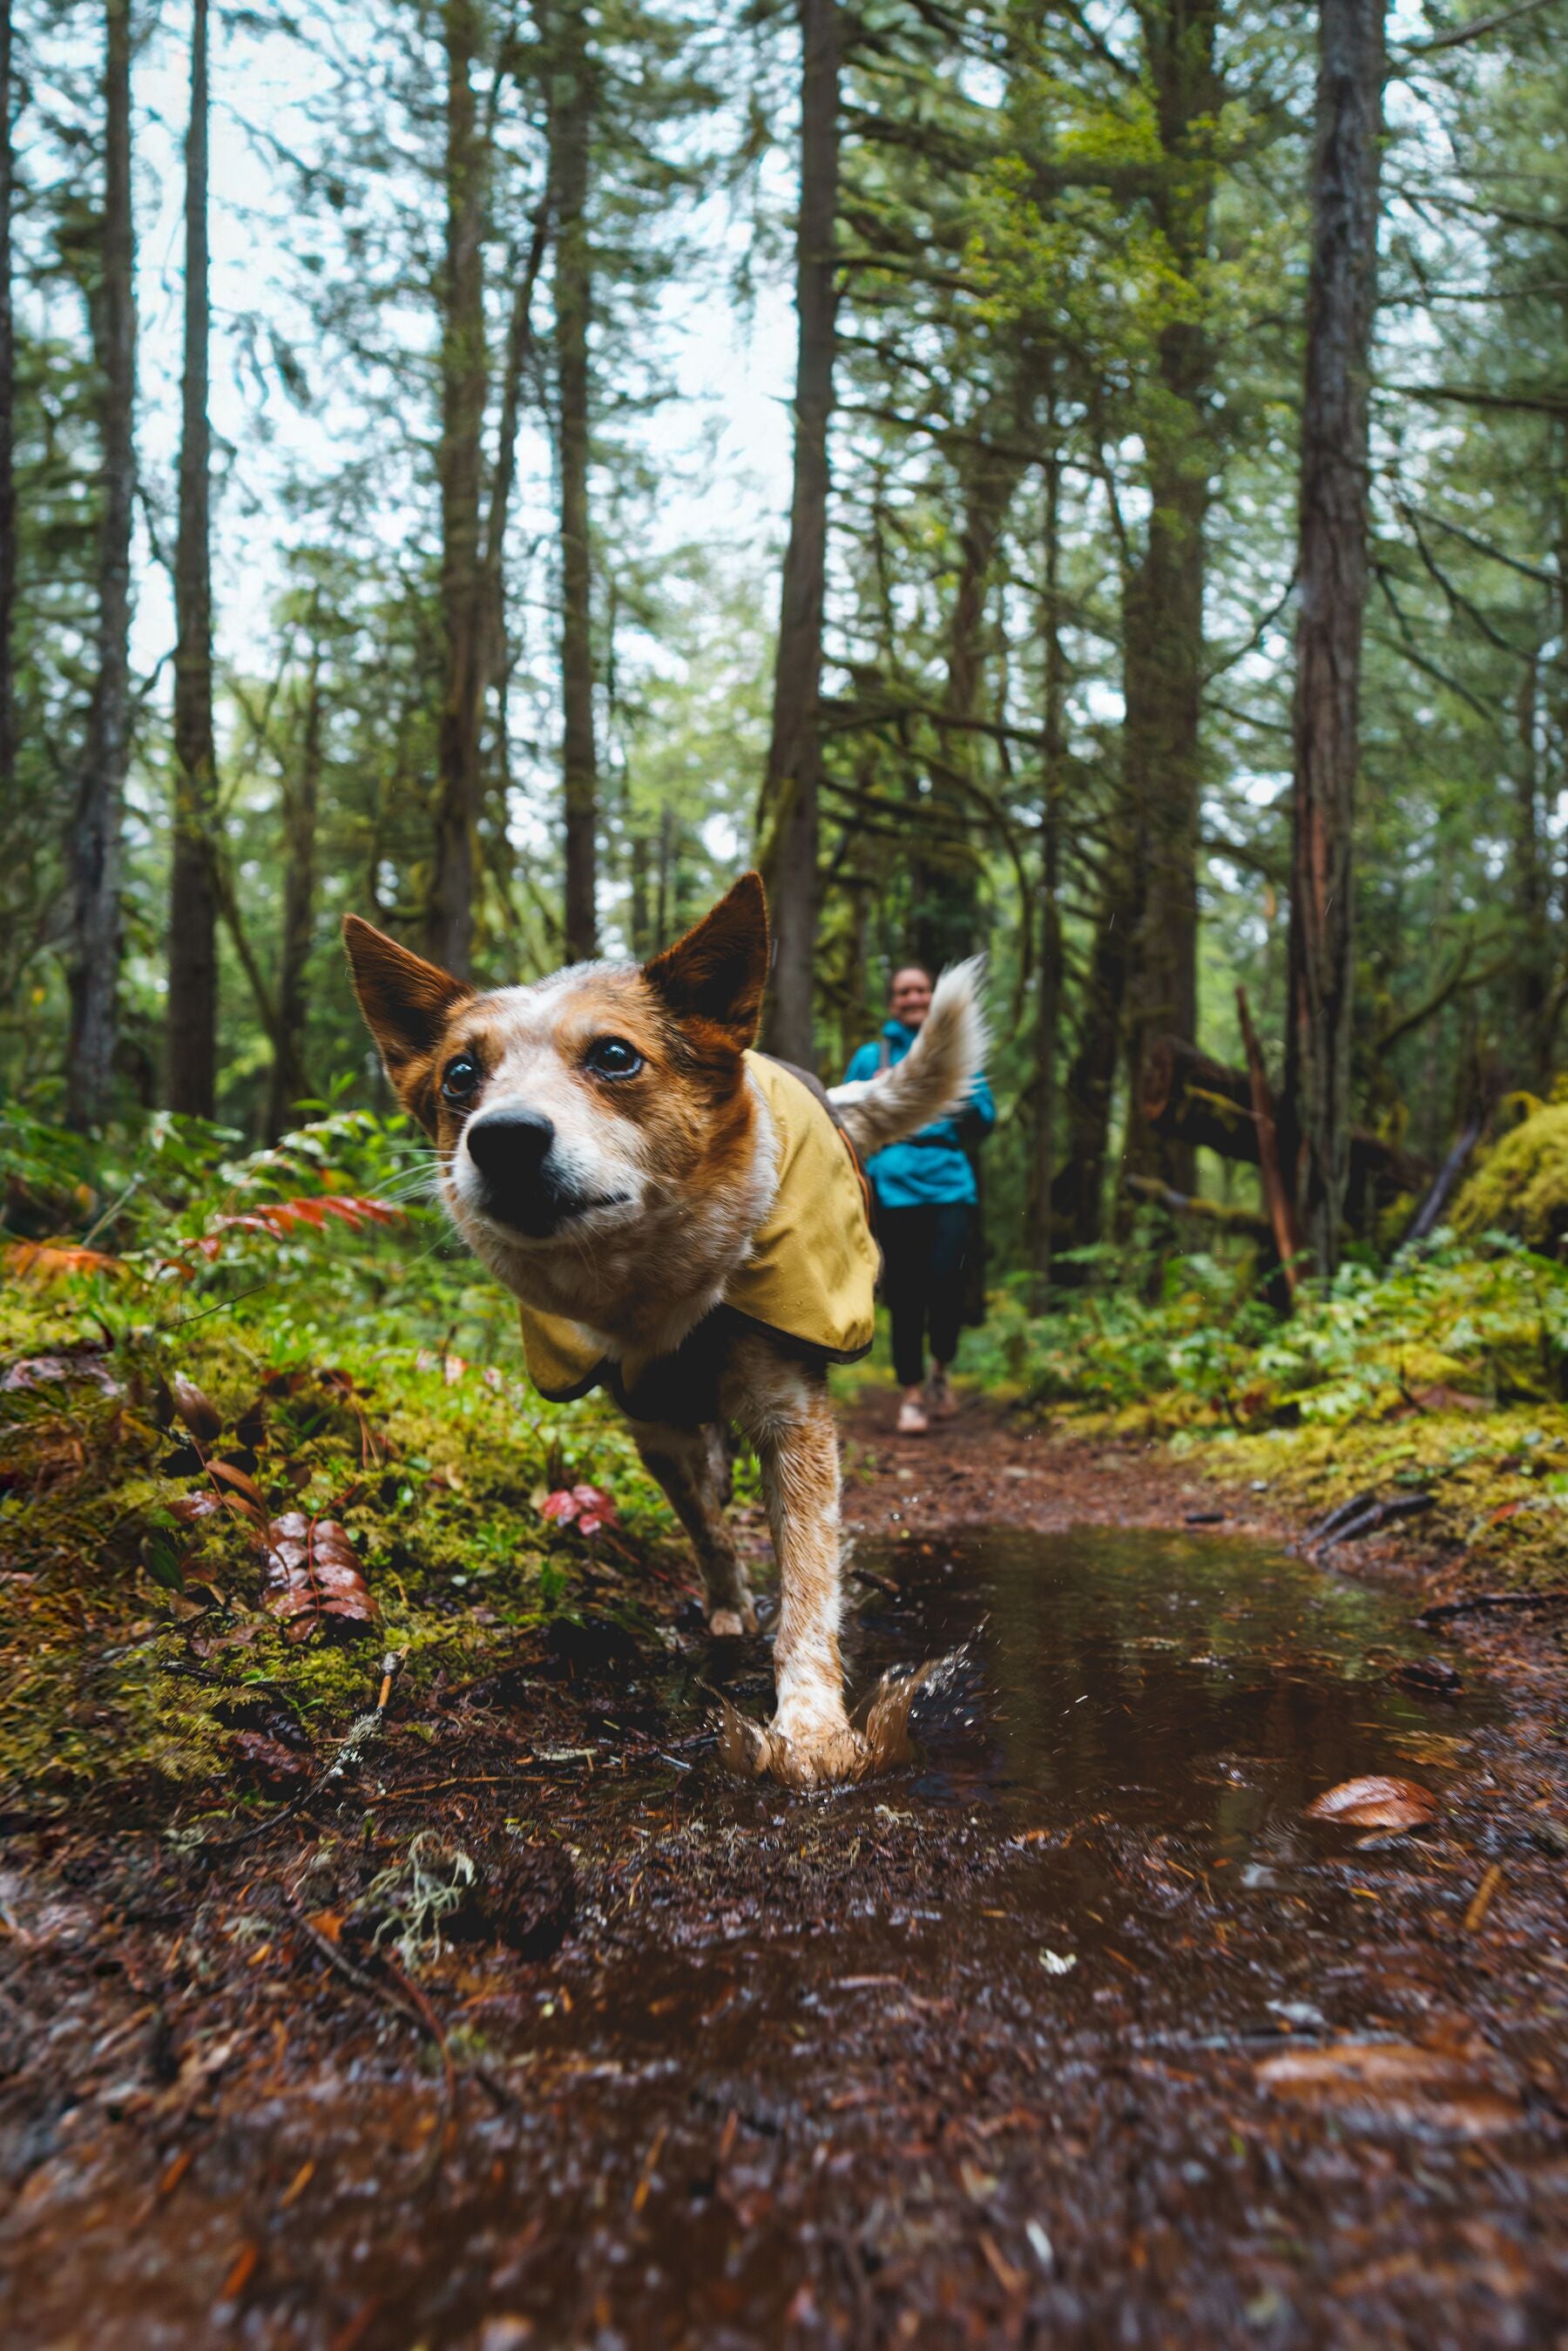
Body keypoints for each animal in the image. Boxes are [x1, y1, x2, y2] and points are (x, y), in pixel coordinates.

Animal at [345, 879, 983, 1777]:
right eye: (461, 1074)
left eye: (615, 1056)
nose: (501, 1137)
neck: (660, 1288)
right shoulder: (651, 1425)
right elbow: (708, 1529)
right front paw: (728, 1604)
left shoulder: (793, 1418)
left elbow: (809, 1575)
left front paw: (812, 1723)